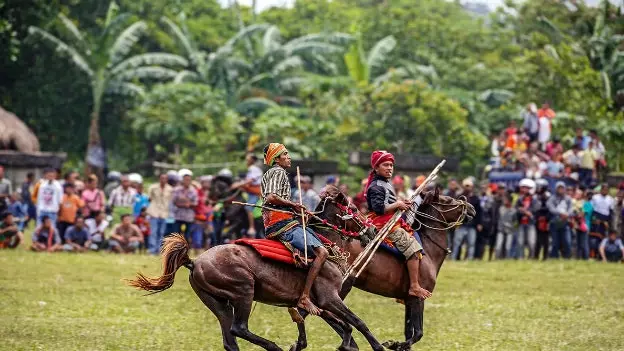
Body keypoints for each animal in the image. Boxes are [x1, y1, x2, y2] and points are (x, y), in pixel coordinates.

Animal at [127, 202, 390, 350]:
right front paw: (377, 346)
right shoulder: (329, 298)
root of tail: (195, 262)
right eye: (353, 209)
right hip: (243, 291)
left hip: (218, 303)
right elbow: (356, 323)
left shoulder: (321, 304)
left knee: (230, 340)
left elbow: (340, 325)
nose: (373, 229)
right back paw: (273, 347)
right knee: (239, 329)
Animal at [290, 187, 476, 351]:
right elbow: (418, 333)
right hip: (341, 287)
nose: (472, 208)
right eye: (448, 200)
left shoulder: (408, 300)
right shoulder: (418, 298)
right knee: (313, 311)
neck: (428, 250)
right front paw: (396, 344)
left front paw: (398, 345)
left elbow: (409, 331)